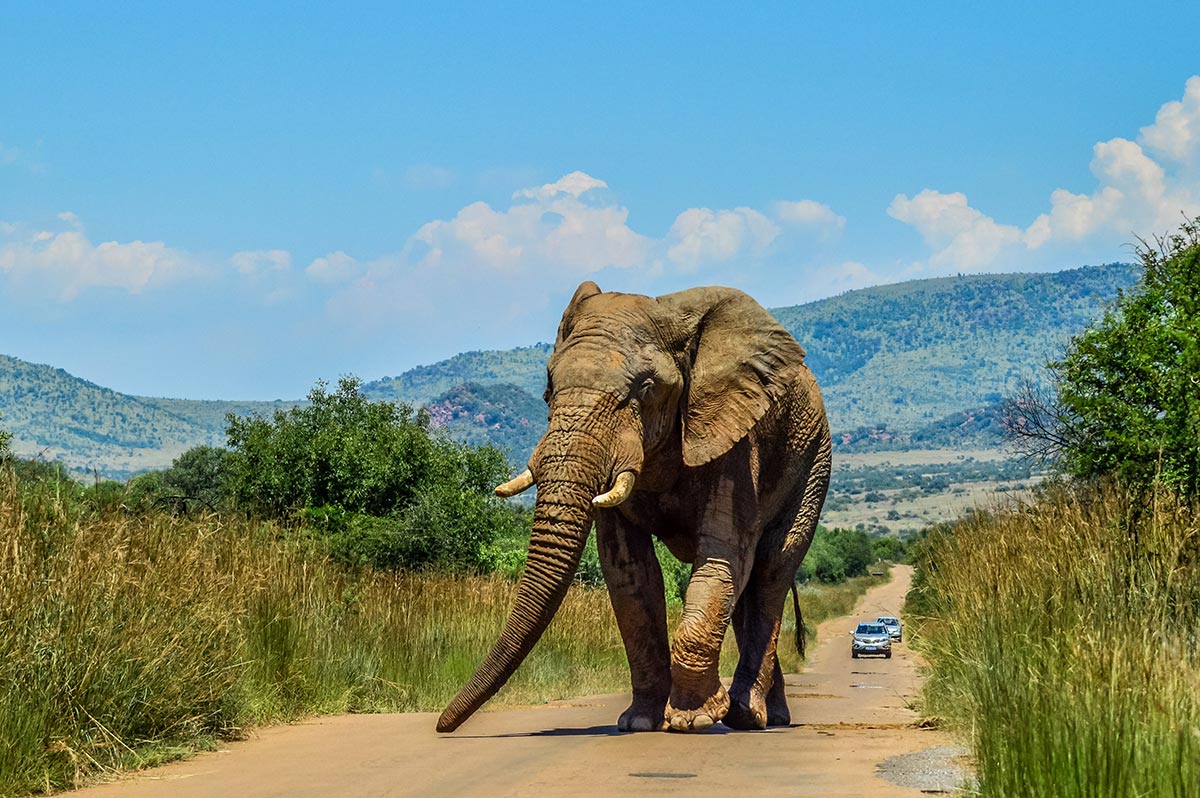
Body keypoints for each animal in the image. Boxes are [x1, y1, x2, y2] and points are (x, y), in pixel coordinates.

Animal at [437, 281, 831, 733]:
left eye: (645, 388)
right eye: (549, 386)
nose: (443, 726)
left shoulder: (733, 437)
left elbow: (721, 558)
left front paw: (692, 720)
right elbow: (630, 573)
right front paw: (640, 722)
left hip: (813, 459)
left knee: (770, 572)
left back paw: (749, 715)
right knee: (747, 592)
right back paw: (766, 714)